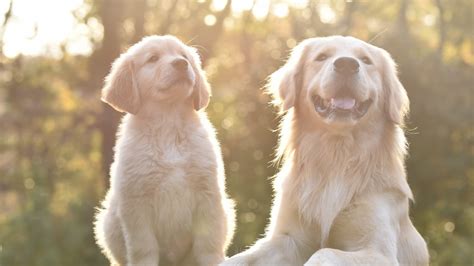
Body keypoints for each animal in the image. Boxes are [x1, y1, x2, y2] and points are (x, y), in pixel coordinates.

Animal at [95, 35, 236, 266]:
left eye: (184, 55)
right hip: (109, 222)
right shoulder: (136, 203)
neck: (168, 123)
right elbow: (144, 248)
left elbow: (208, 245)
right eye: (153, 58)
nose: (181, 64)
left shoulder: (208, 196)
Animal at [222, 35, 430, 266]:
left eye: (366, 60)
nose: (347, 64)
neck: (336, 155)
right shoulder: (287, 239)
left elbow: (324, 252)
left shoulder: (379, 252)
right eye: (321, 57)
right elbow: (241, 257)